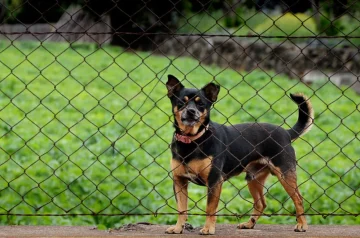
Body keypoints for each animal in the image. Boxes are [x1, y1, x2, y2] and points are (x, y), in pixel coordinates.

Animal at [165, 75, 314, 235]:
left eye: (201, 105)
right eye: (181, 102)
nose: (191, 111)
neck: (193, 140)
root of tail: (286, 133)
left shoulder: (214, 181)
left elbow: (210, 208)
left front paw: (208, 228)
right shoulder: (179, 181)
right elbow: (181, 209)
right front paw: (178, 228)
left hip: (285, 175)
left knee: (298, 199)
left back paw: (302, 225)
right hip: (253, 178)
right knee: (261, 203)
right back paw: (249, 224)